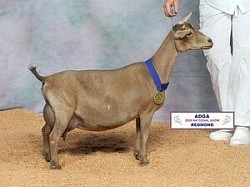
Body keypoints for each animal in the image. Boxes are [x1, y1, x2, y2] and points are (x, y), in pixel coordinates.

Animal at [29, 12, 213, 169]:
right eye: (189, 33)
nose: (210, 41)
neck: (155, 72)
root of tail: (46, 78)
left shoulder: (139, 112)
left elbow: (138, 134)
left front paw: (137, 155)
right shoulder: (147, 111)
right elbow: (145, 135)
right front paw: (145, 160)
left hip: (51, 111)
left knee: (44, 130)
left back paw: (47, 156)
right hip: (63, 111)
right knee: (54, 136)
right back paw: (56, 164)